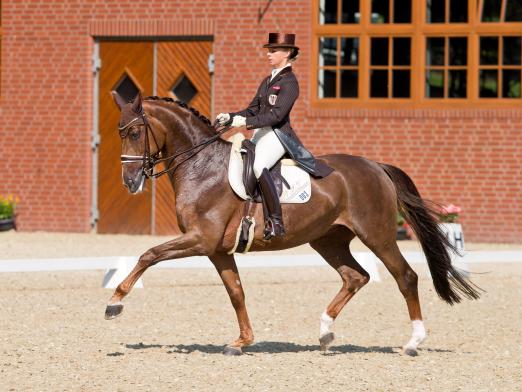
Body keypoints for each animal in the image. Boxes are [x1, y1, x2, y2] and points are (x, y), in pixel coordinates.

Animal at [105, 91, 480, 356]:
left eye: (135, 132)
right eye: (120, 132)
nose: (130, 181)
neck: (202, 167)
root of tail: (376, 166)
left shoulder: (201, 240)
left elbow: (149, 254)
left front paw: (115, 301)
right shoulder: (217, 250)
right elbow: (236, 292)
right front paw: (242, 341)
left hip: (378, 236)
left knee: (405, 277)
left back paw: (413, 342)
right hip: (328, 239)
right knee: (355, 276)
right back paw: (325, 333)